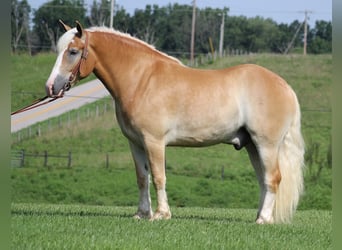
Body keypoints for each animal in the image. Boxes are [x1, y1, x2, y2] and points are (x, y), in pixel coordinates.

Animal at [46, 21, 304, 224]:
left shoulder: (154, 141)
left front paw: (161, 214)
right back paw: (260, 216)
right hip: (251, 145)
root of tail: (284, 86)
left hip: (266, 145)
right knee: (263, 180)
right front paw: (142, 214)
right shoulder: (135, 143)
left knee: (272, 178)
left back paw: (264, 219)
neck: (142, 79)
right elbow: (142, 178)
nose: (51, 87)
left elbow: (159, 176)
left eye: (73, 51)